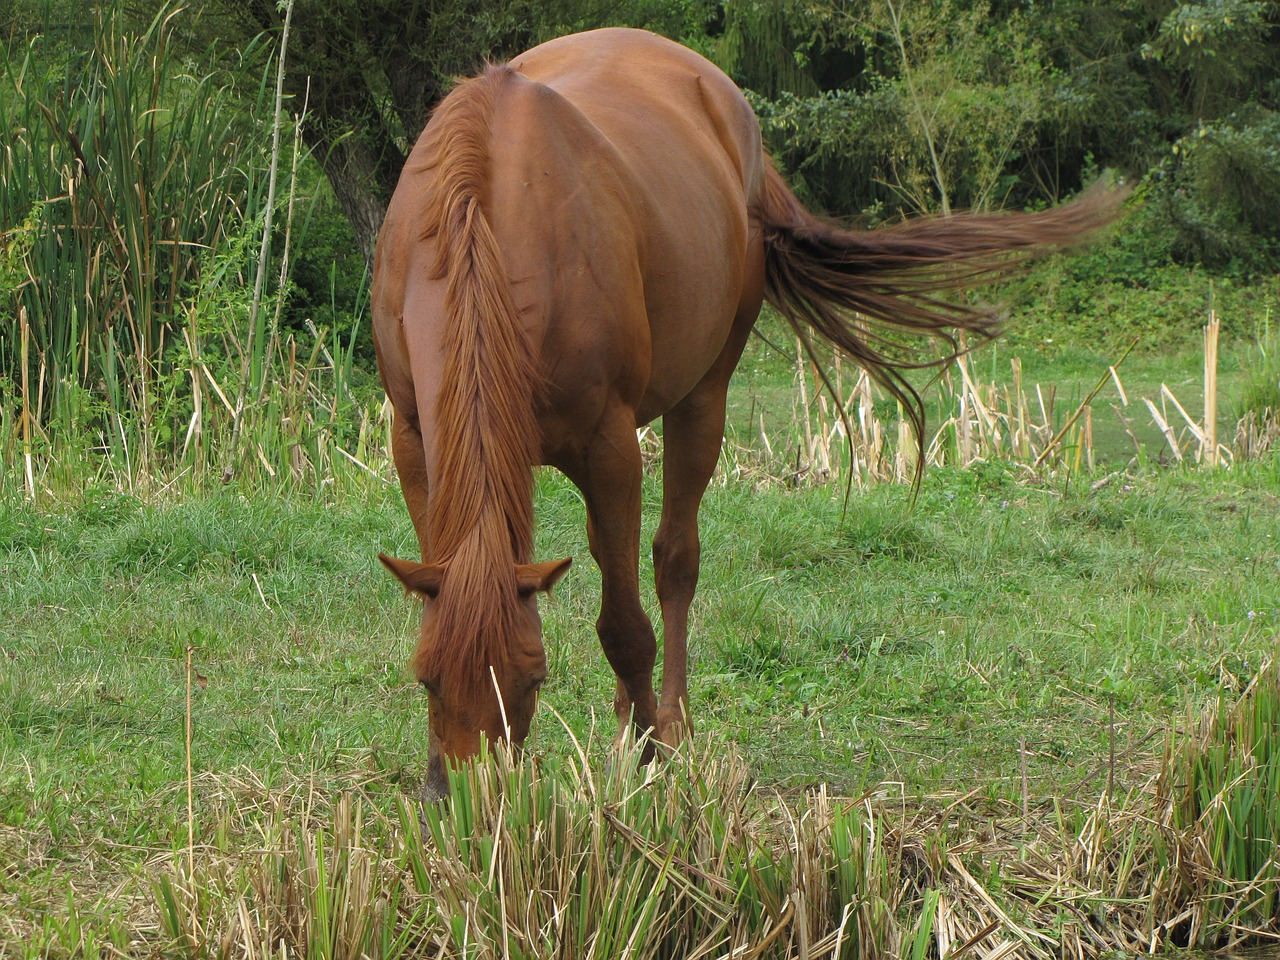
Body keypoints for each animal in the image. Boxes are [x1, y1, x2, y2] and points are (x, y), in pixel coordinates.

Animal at [368, 28, 1121, 803]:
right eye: (425, 677)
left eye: (532, 677)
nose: (468, 803)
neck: (489, 212)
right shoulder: (414, 439)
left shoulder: (609, 445)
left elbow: (625, 624)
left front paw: (651, 756)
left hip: (703, 396)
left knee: (671, 561)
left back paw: (668, 723)